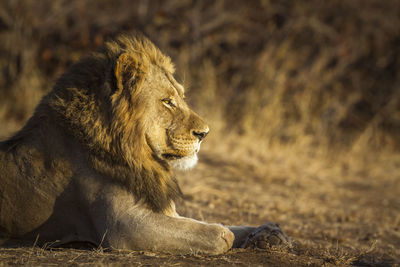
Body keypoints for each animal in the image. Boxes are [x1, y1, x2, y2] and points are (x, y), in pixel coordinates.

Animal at [0, 34, 290, 254]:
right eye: (167, 102)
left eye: (181, 97)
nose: (205, 133)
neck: (138, 153)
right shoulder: (124, 225)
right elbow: (215, 233)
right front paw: (223, 234)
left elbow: (223, 224)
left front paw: (269, 233)